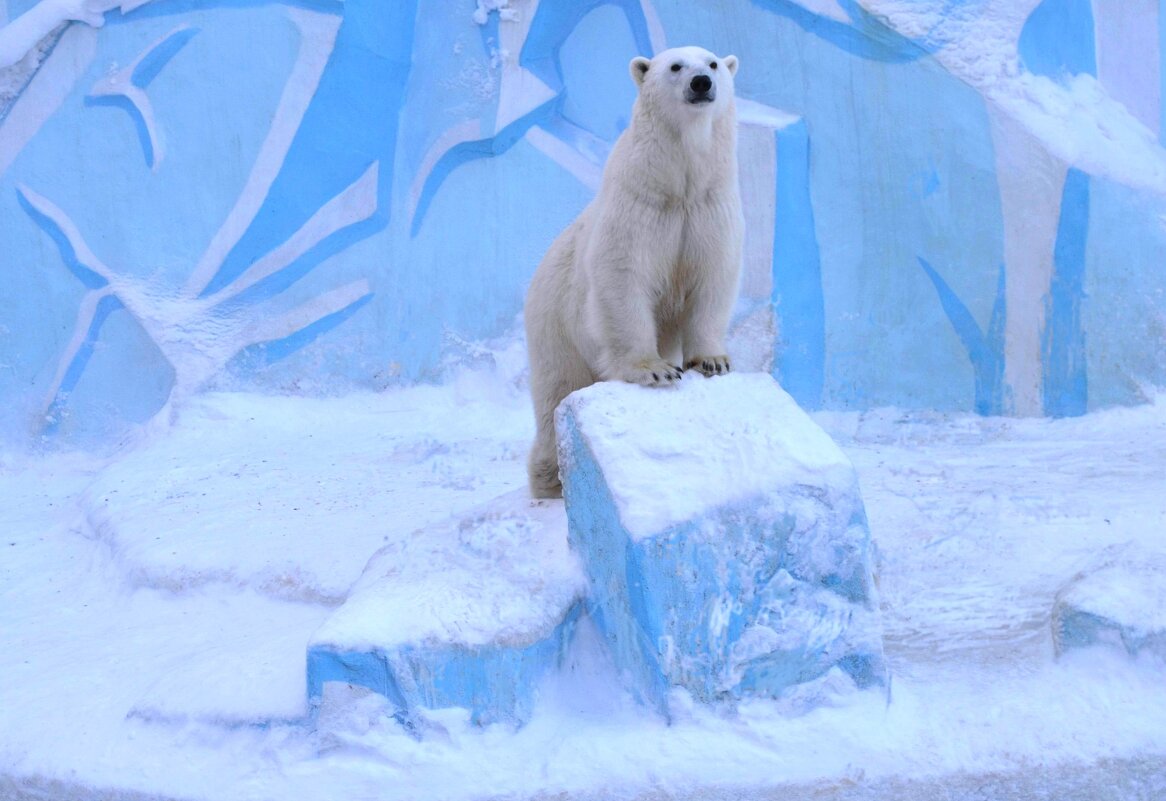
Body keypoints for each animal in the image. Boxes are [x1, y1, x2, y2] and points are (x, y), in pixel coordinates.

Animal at [524, 46, 741, 499]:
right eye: (675, 66)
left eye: (713, 63)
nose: (701, 83)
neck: (680, 183)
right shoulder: (640, 207)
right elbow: (624, 278)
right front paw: (655, 369)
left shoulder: (710, 208)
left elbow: (713, 276)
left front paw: (712, 360)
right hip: (555, 326)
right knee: (557, 391)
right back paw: (550, 481)